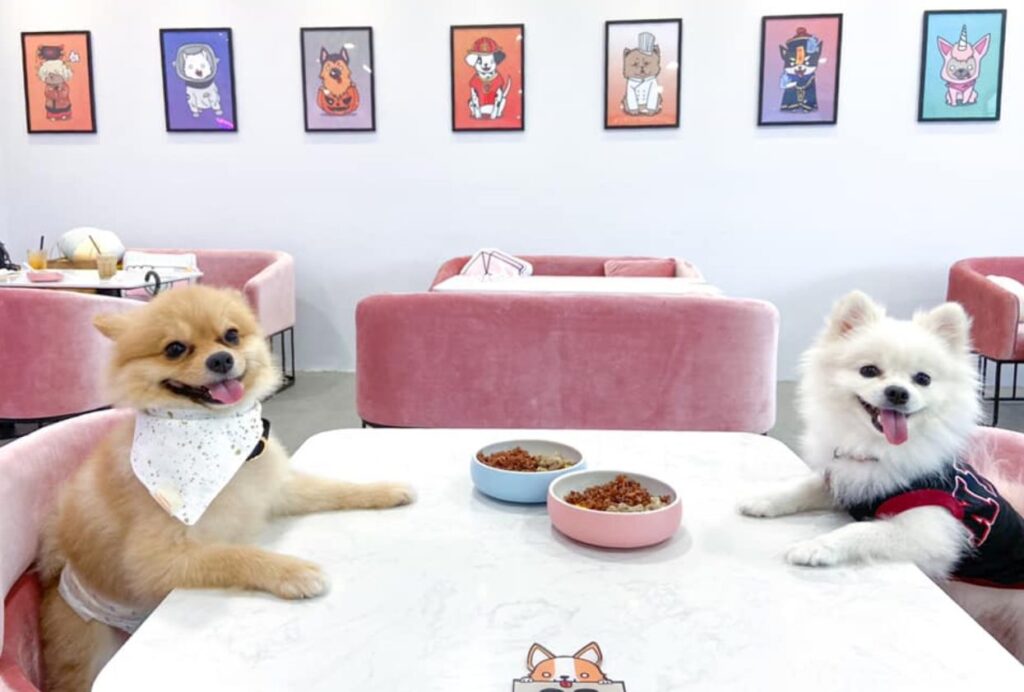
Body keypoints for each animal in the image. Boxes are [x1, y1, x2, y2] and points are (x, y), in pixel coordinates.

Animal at [38, 284, 415, 687]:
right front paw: (293, 572)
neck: (216, 437)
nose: (221, 359)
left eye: (231, 335)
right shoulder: (157, 560)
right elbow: (235, 555)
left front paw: (384, 490)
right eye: (175, 348)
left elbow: (332, 488)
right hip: (88, 647)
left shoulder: (275, 489)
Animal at [741, 290, 1024, 659]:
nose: (898, 392)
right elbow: (803, 486)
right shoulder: (847, 480)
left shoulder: (928, 533)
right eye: (869, 370)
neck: (877, 449)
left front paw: (815, 547)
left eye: (923, 379)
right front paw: (764, 500)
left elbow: (860, 530)